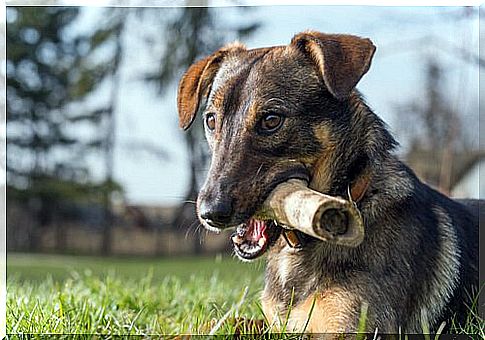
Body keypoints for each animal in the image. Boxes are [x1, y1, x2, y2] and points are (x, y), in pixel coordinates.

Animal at [176, 30, 478, 334]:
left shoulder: (352, 329)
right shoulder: (276, 324)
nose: (210, 214)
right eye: (211, 120)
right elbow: (216, 323)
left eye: (271, 120)